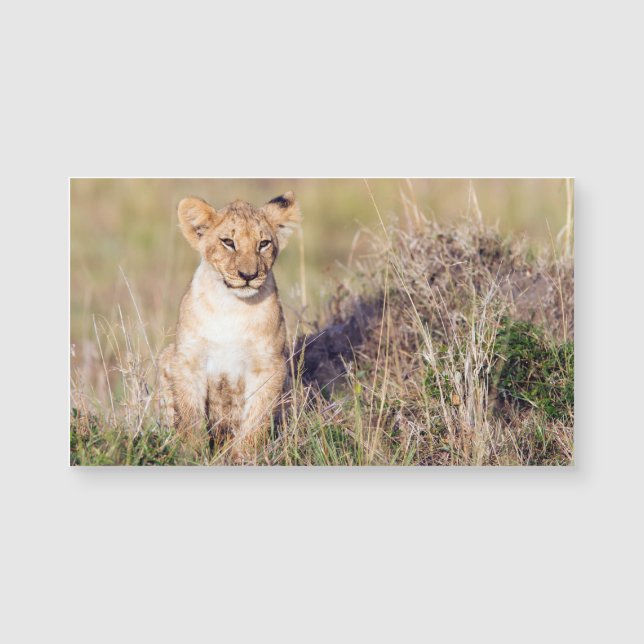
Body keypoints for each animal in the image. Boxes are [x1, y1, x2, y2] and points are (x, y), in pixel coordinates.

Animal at [158, 191, 301, 462]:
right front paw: (191, 454)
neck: (232, 307)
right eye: (228, 242)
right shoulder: (188, 359)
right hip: (166, 355)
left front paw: (245, 457)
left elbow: (256, 419)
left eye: (263, 243)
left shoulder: (269, 365)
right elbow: (190, 415)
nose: (248, 275)